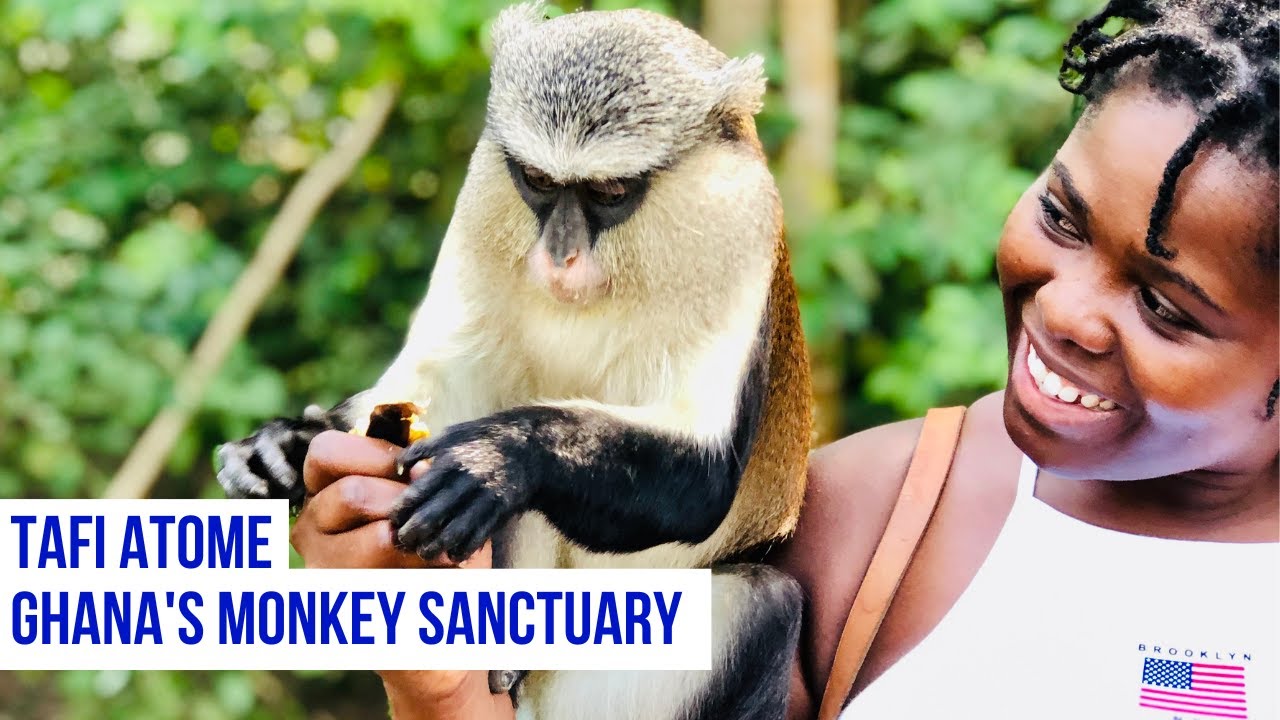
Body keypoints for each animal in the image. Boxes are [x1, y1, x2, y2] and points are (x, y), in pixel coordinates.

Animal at [216, 4, 812, 718]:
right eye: (538, 182)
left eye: (611, 190)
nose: (559, 256)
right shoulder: (484, 199)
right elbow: (438, 388)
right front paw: (287, 447)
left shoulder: (737, 227)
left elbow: (702, 474)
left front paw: (495, 460)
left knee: (763, 601)